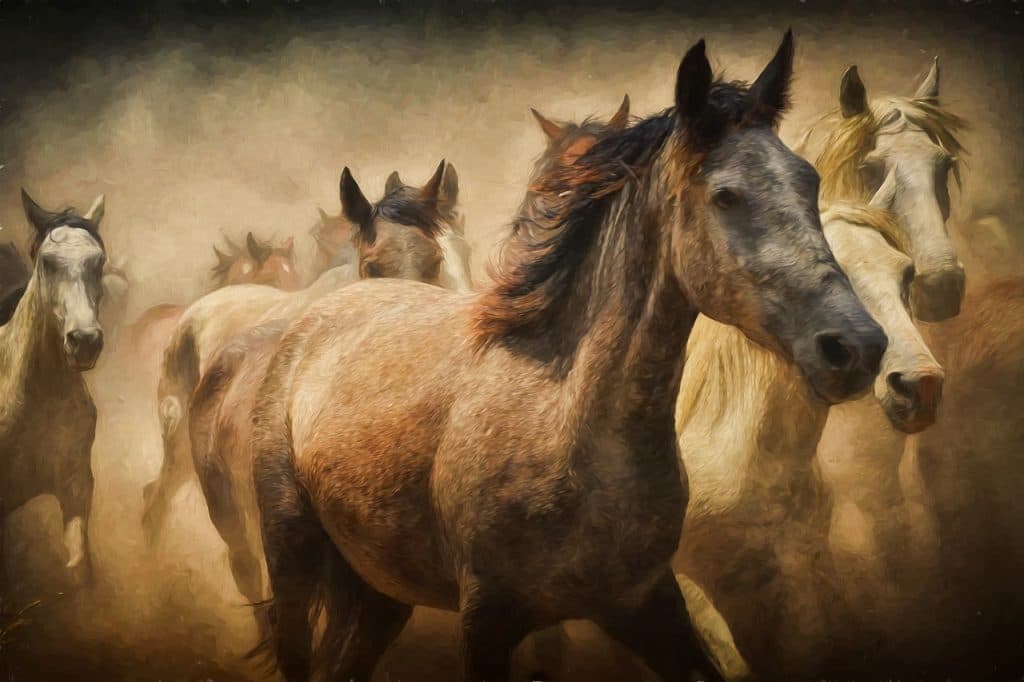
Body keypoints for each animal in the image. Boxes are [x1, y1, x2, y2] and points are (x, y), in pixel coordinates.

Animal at [250, 33, 886, 682]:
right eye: (727, 195)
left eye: (808, 181)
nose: (856, 347)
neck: (567, 422)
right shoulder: (487, 621)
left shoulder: (645, 603)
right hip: (293, 551)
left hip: (380, 588)